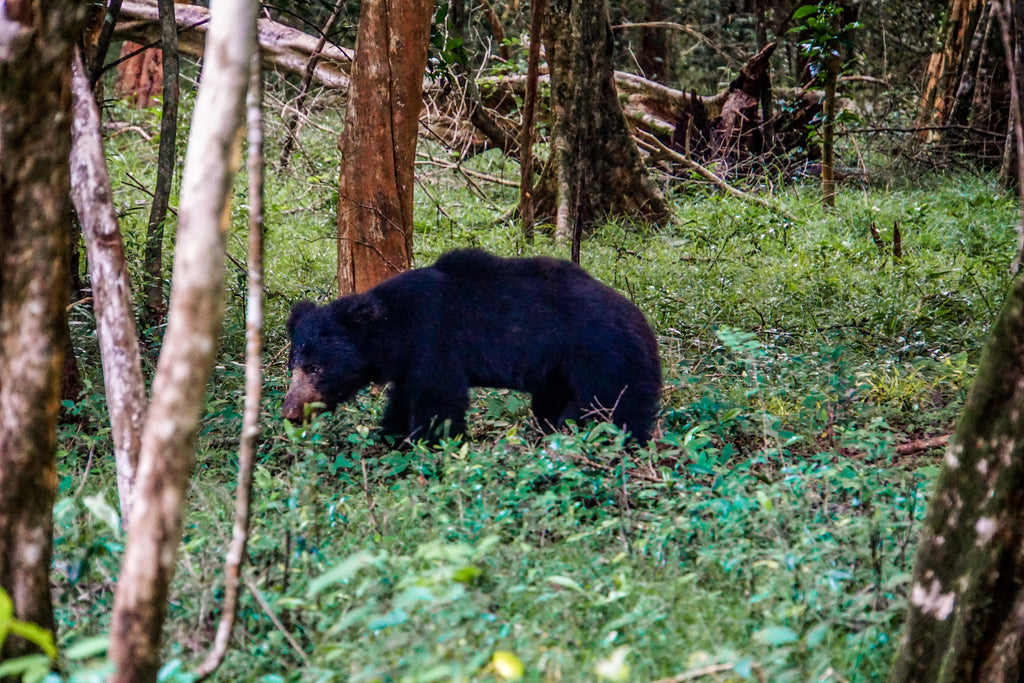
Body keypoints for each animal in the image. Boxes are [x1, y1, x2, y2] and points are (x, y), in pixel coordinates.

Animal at [282, 249, 663, 444]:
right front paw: (391, 437)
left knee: (607, 410)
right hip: (560, 371)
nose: (290, 411)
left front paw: (426, 445)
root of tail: (642, 321)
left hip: (602, 357)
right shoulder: (409, 364)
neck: (394, 329)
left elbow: (438, 401)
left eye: (315, 368)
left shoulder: (435, 340)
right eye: (293, 366)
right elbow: (403, 399)